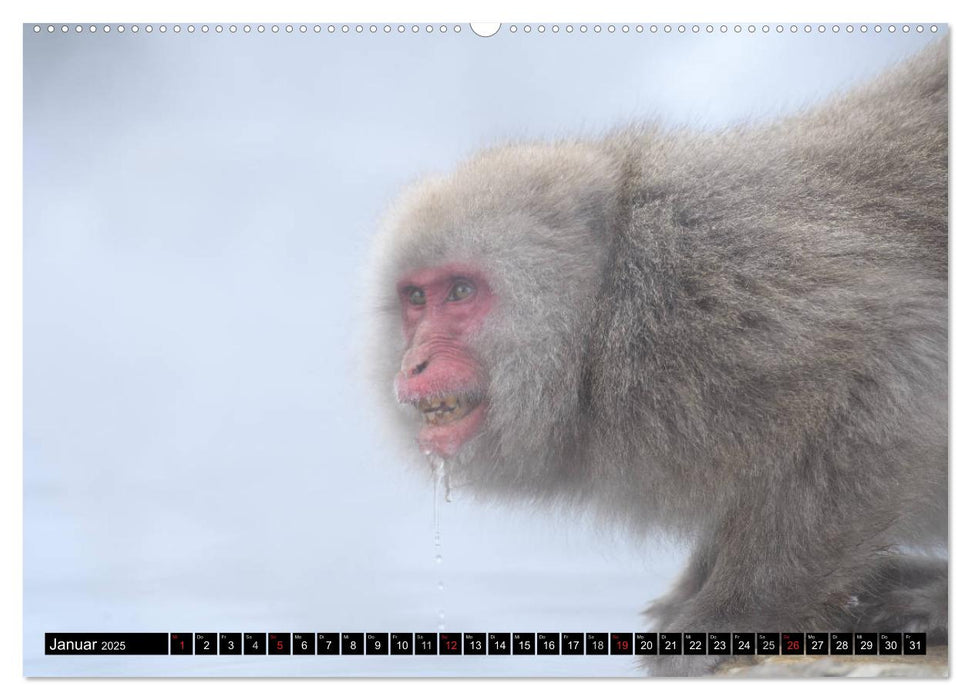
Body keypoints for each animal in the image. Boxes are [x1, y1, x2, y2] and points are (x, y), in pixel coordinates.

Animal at [368, 41, 944, 676]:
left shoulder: (725, 279)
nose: (413, 365)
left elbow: (901, 356)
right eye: (415, 298)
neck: (607, 317)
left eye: (460, 291)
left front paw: (735, 612)